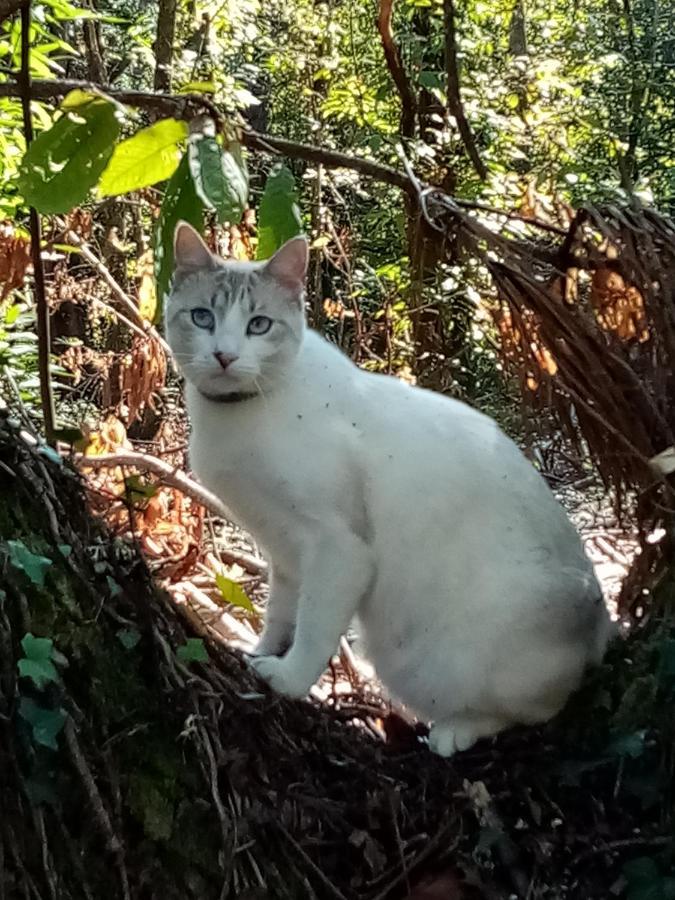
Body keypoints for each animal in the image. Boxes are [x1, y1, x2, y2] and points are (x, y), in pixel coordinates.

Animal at [166, 221, 616, 756]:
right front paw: (258, 652)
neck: (233, 417)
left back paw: (455, 731)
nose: (225, 355)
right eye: (203, 317)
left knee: (538, 708)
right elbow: (279, 614)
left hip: (450, 660)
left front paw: (288, 679)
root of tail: (601, 627)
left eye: (259, 325)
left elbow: (312, 628)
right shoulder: (285, 549)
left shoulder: (338, 550)